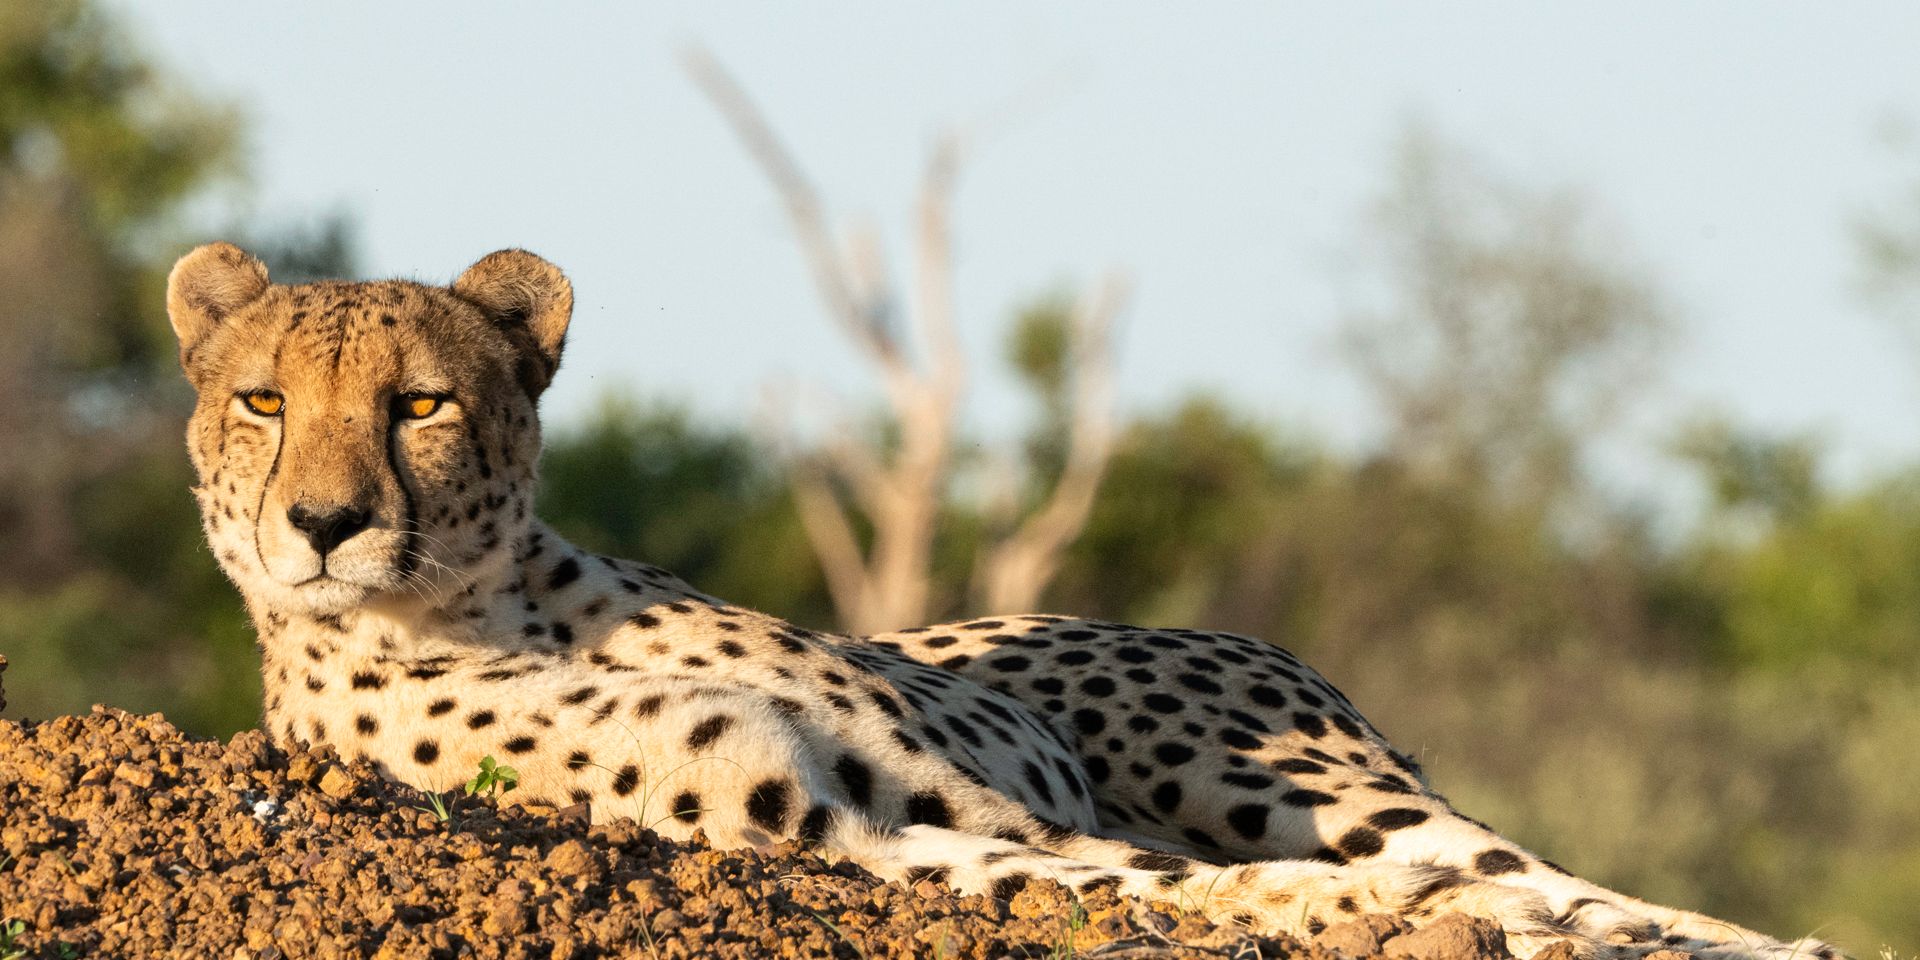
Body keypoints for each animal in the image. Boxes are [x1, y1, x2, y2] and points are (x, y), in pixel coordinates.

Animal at [166, 241, 1837, 960]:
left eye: (421, 404)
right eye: (263, 400)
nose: (327, 524)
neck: (499, 605)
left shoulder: (945, 794)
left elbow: (1137, 873)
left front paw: (1399, 911)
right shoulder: (839, 831)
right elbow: (1124, 886)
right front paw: (1360, 916)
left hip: (1261, 767)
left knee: (1565, 877)